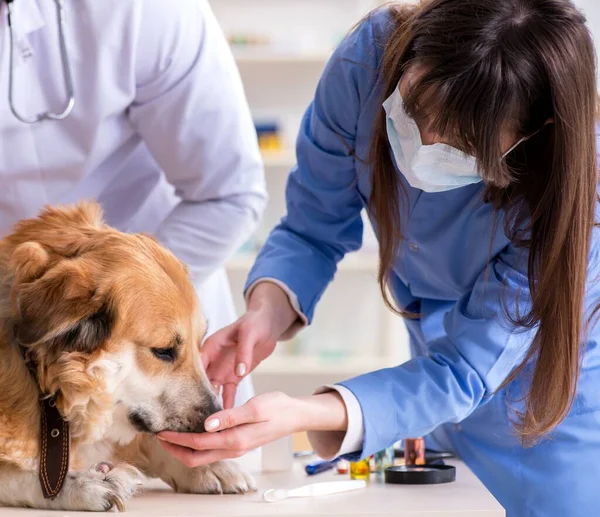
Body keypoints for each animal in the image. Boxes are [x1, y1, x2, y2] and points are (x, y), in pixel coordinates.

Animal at [0, 201, 255, 508]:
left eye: (200, 342)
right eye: (164, 351)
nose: (214, 422)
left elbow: (149, 442)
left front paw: (208, 466)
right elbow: (25, 476)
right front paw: (87, 483)